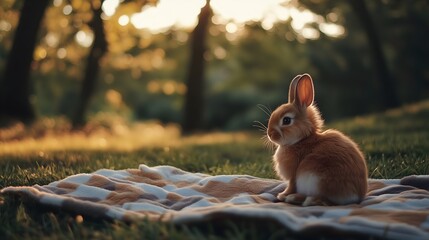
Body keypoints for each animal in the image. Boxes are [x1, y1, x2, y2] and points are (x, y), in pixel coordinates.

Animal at [266, 73, 366, 206]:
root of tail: (355, 197)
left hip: (317, 180)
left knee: (326, 201)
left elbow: (291, 186)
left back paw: (298, 198)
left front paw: (282, 195)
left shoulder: (294, 175)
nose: (270, 134)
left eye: (286, 120)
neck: (301, 140)